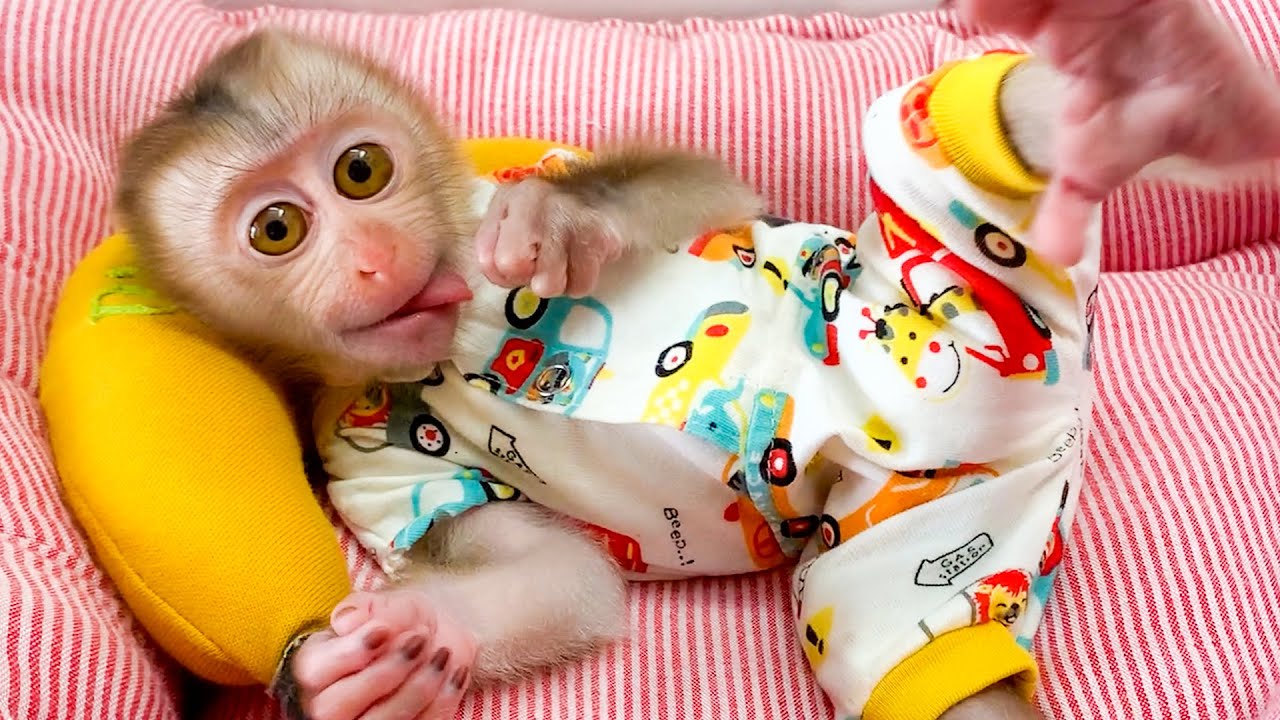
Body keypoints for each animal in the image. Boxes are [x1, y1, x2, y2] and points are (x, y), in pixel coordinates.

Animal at [111, 1, 1280, 716]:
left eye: (361, 170)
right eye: (277, 230)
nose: (374, 258)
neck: (452, 345)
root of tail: (1051, 414)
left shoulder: (497, 190)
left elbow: (713, 195)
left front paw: (558, 222)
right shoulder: (371, 454)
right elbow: (567, 581)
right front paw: (372, 659)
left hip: (953, 273)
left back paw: (1135, 83)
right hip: (947, 515)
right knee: (907, 643)